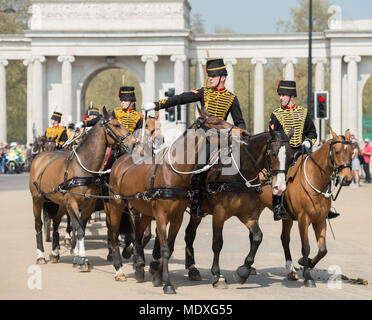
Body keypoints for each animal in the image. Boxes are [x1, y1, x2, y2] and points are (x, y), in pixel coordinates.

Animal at [29, 107, 137, 270]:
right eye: (116, 125)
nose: (133, 143)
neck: (82, 168)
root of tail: (40, 157)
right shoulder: (73, 203)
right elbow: (78, 229)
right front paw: (81, 258)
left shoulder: (88, 204)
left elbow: (82, 229)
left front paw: (80, 256)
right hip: (38, 199)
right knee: (38, 225)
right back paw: (41, 255)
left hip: (61, 203)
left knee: (56, 222)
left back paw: (55, 252)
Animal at [106, 105, 246, 296]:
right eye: (216, 122)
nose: (244, 132)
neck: (173, 172)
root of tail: (121, 160)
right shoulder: (161, 216)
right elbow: (164, 247)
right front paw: (167, 283)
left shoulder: (177, 216)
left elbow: (170, 247)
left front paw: (158, 276)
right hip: (116, 205)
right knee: (114, 234)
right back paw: (119, 269)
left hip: (142, 211)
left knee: (138, 234)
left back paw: (139, 267)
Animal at [150, 127, 294, 288]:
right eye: (272, 154)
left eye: (291, 157)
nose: (279, 188)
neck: (239, 175)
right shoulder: (219, 214)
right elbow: (217, 243)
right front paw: (217, 275)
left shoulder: (248, 216)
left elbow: (257, 237)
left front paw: (243, 271)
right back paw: (155, 262)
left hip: (195, 211)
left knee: (189, 234)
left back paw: (192, 269)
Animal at [258, 130, 354, 288]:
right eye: (337, 151)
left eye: (352, 152)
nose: (347, 179)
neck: (316, 178)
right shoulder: (304, 219)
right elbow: (306, 247)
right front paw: (308, 276)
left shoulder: (320, 220)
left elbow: (322, 250)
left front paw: (305, 262)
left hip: (287, 217)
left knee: (284, 239)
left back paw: (291, 271)